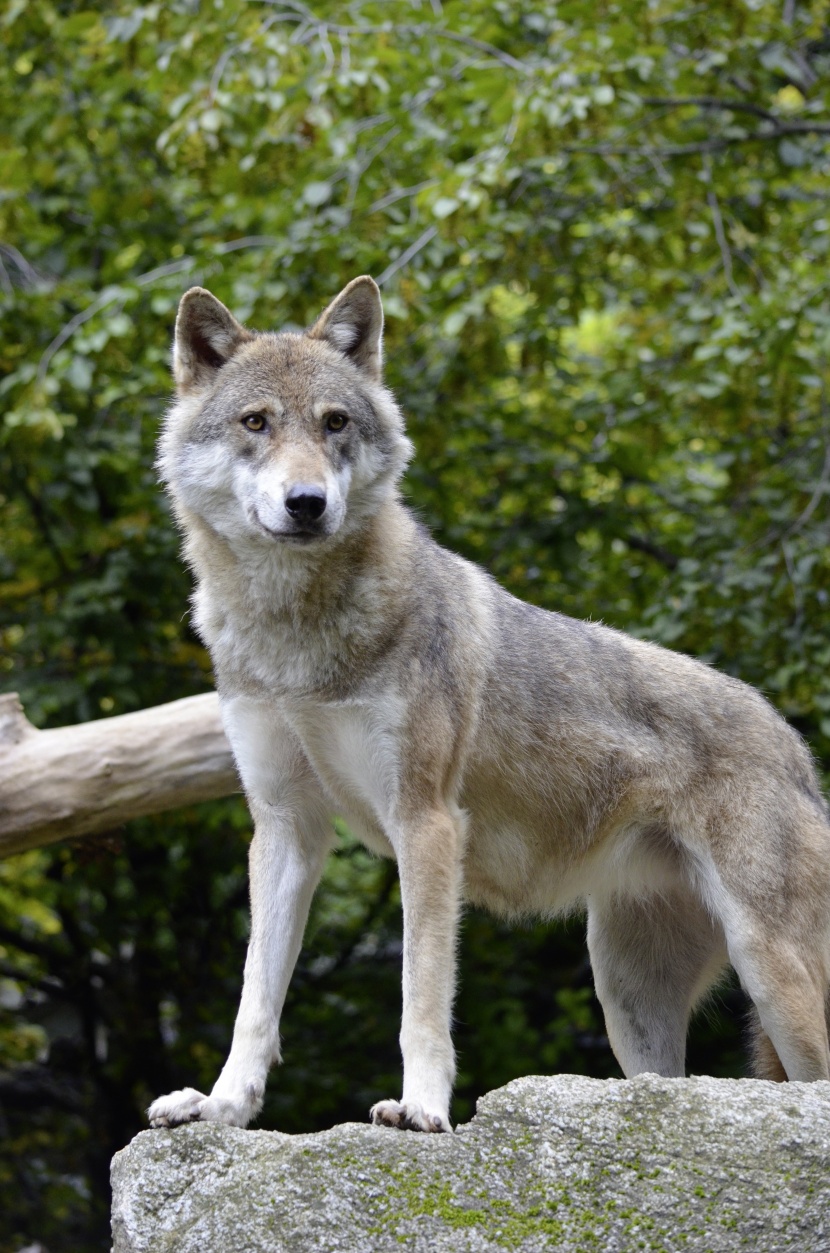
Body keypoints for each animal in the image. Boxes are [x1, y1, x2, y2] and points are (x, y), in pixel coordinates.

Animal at [146, 276, 830, 1137]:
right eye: (256, 422)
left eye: (335, 423)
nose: (307, 503)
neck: (296, 640)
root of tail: (797, 748)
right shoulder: (284, 826)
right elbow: (255, 997)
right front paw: (223, 1105)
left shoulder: (428, 821)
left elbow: (421, 991)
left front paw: (421, 1107)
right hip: (626, 999)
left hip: (770, 972)